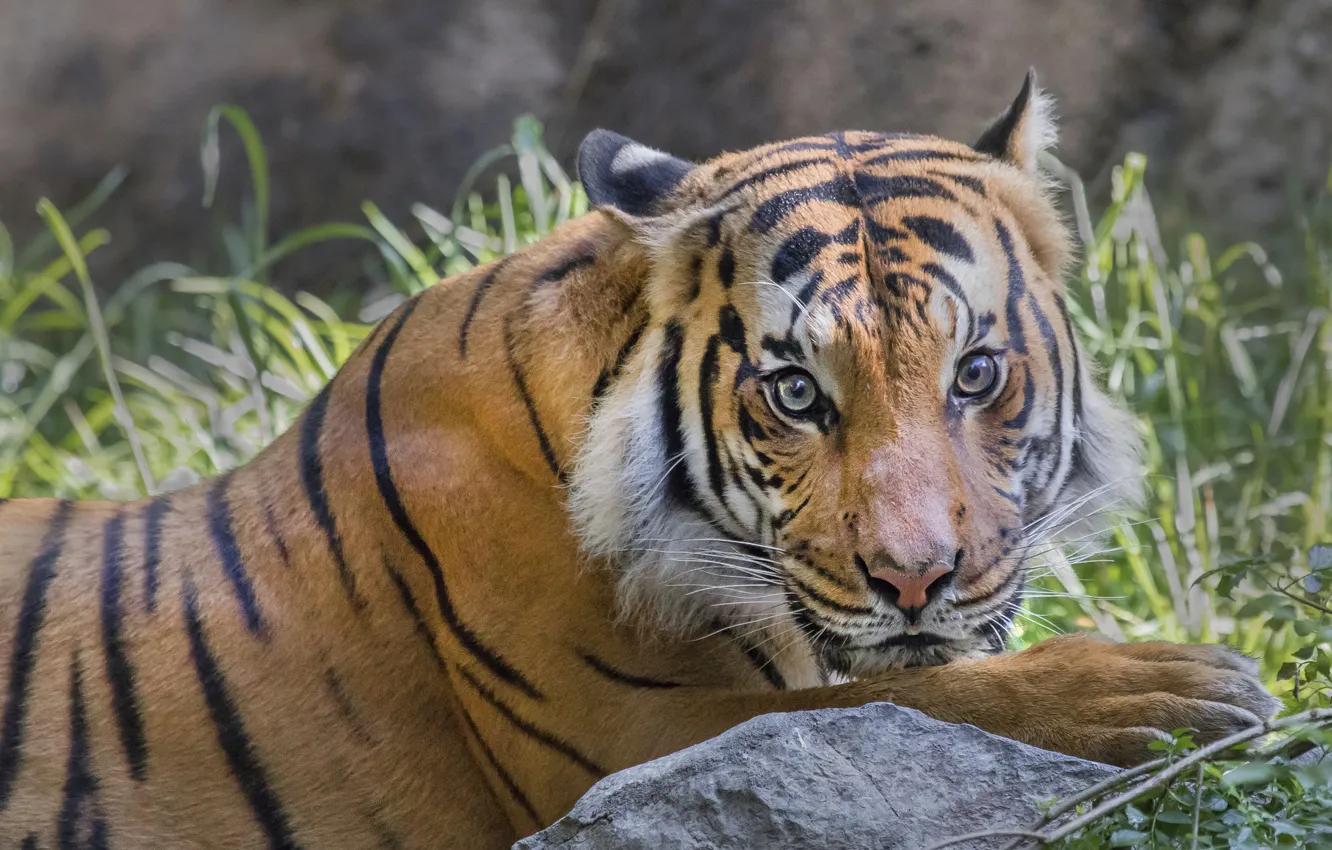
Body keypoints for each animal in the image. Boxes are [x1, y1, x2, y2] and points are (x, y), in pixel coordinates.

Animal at [0, 70, 1278, 848]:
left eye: (975, 373)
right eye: (796, 391)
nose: (916, 578)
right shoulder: (626, 743)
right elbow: (900, 690)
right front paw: (1173, 685)